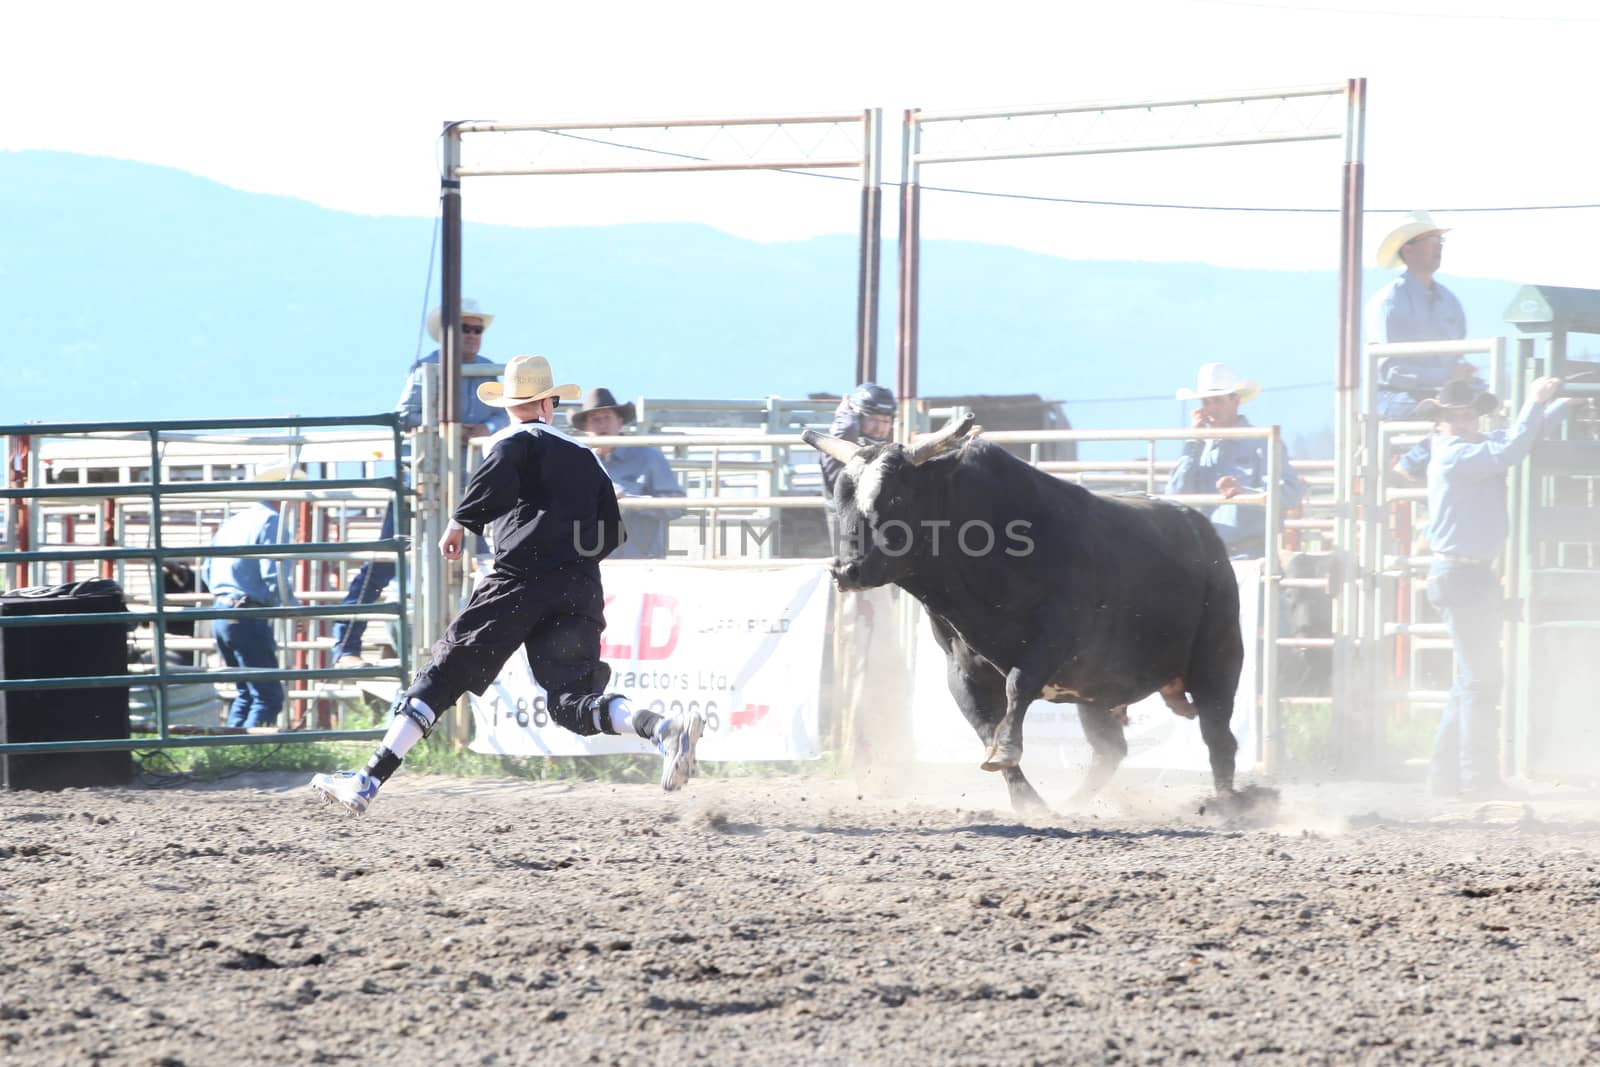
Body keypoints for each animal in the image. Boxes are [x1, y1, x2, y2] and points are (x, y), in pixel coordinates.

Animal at [806, 412, 1241, 812]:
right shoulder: (960, 669)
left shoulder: (1053, 644)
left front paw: (1007, 751)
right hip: (1096, 690)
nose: (846, 570)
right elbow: (984, 725)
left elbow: (1017, 687)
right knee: (1111, 750)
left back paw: (1229, 805)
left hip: (1217, 661)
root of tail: (1204, 533)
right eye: (840, 500)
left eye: (895, 498)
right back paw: (1072, 804)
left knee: (1219, 736)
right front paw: (1027, 799)